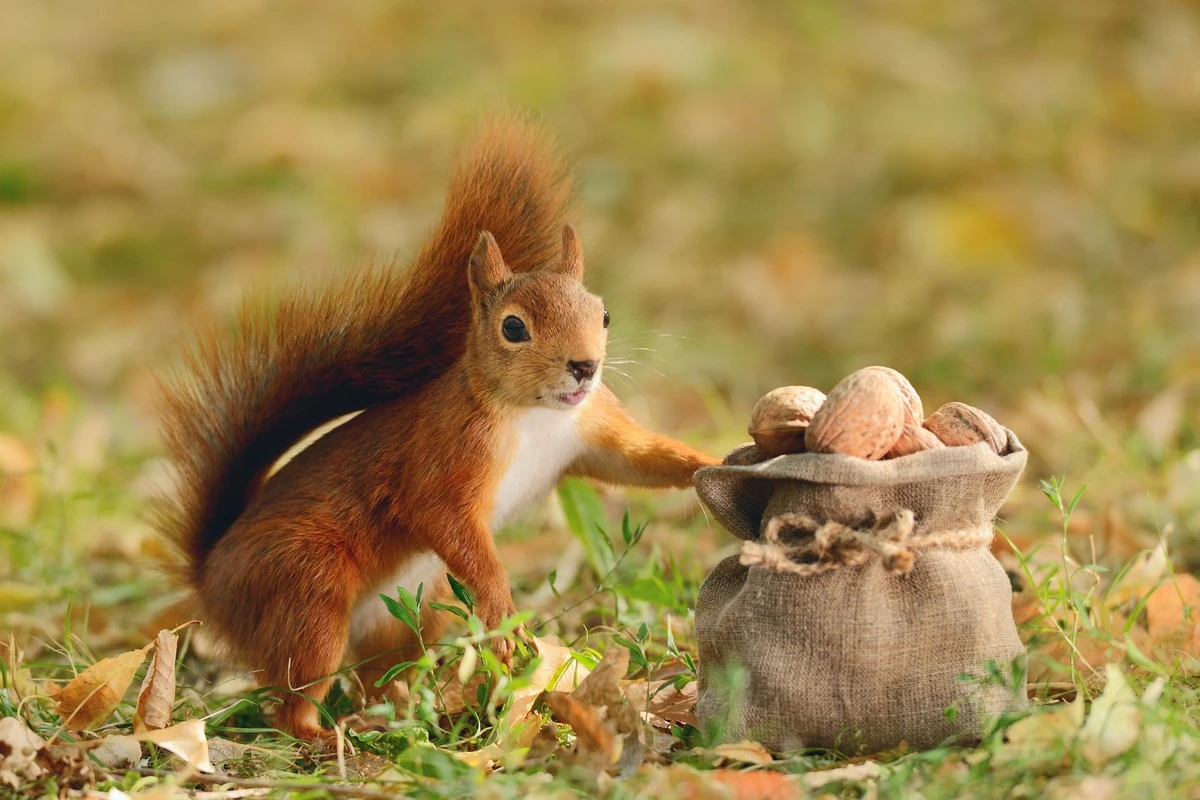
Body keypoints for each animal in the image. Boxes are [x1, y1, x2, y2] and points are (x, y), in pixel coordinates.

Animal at [155, 117, 718, 740]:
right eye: (513, 328)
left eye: (604, 314)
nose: (585, 367)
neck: (536, 415)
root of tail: (211, 577)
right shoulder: (447, 455)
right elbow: (444, 517)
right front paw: (504, 615)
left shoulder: (590, 427)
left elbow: (639, 459)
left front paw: (714, 463)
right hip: (306, 589)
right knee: (292, 697)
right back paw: (327, 735)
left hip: (399, 618)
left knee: (379, 674)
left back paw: (407, 713)